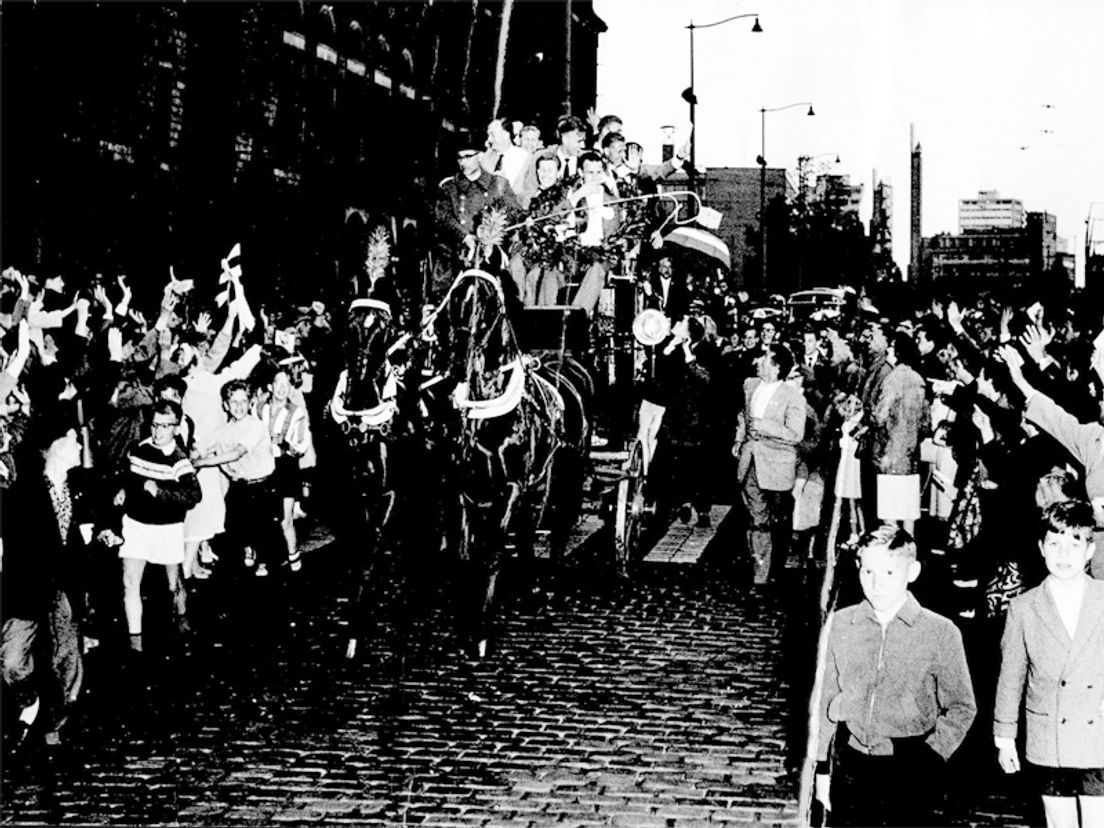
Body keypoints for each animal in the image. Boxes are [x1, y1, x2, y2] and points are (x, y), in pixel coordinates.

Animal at [430, 269, 591, 657]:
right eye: (454, 299)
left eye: (487, 303)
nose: (459, 359)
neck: (488, 417)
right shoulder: (462, 488)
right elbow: (464, 555)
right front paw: (467, 624)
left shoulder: (512, 487)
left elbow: (492, 551)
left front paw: (481, 631)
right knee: (530, 531)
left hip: (563, 477)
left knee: (556, 525)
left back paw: (550, 584)